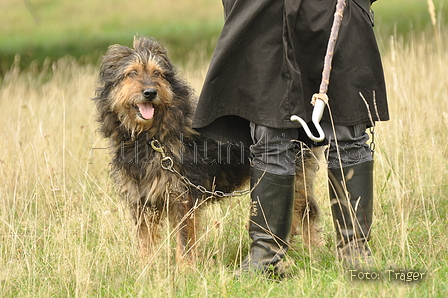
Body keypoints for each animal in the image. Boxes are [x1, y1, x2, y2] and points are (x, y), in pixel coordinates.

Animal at [93, 36, 322, 262]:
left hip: (297, 177)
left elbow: (184, 241)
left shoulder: (183, 197)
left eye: (157, 73)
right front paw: (146, 266)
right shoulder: (141, 201)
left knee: (307, 211)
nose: (150, 92)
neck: (151, 137)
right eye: (131, 73)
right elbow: (145, 241)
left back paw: (311, 253)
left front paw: (185, 269)